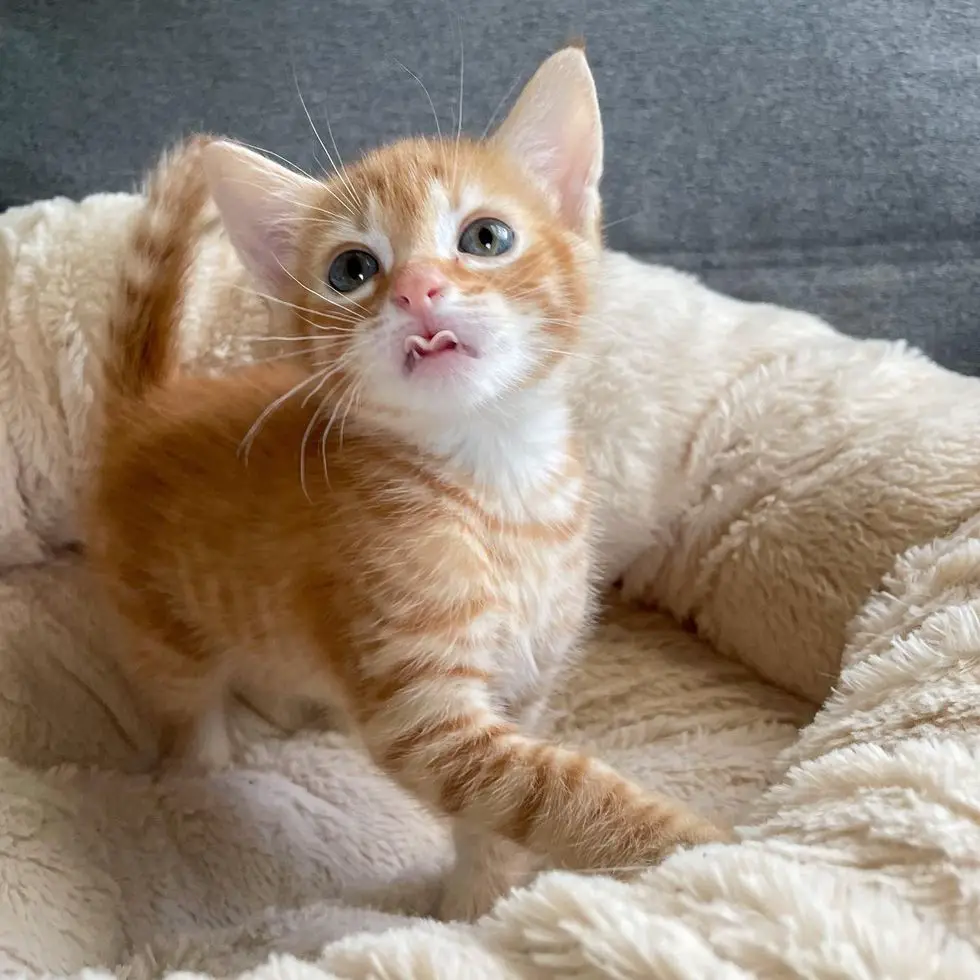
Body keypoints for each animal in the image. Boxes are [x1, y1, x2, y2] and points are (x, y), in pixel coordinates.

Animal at [86, 46, 728, 920]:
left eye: (485, 237)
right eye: (351, 269)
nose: (417, 288)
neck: (499, 488)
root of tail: (149, 404)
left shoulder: (523, 689)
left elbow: (498, 823)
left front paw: (480, 905)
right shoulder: (424, 712)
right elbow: (561, 791)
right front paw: (713, 846)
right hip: (161, 627)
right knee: (185, 710)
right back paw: (207, 765)